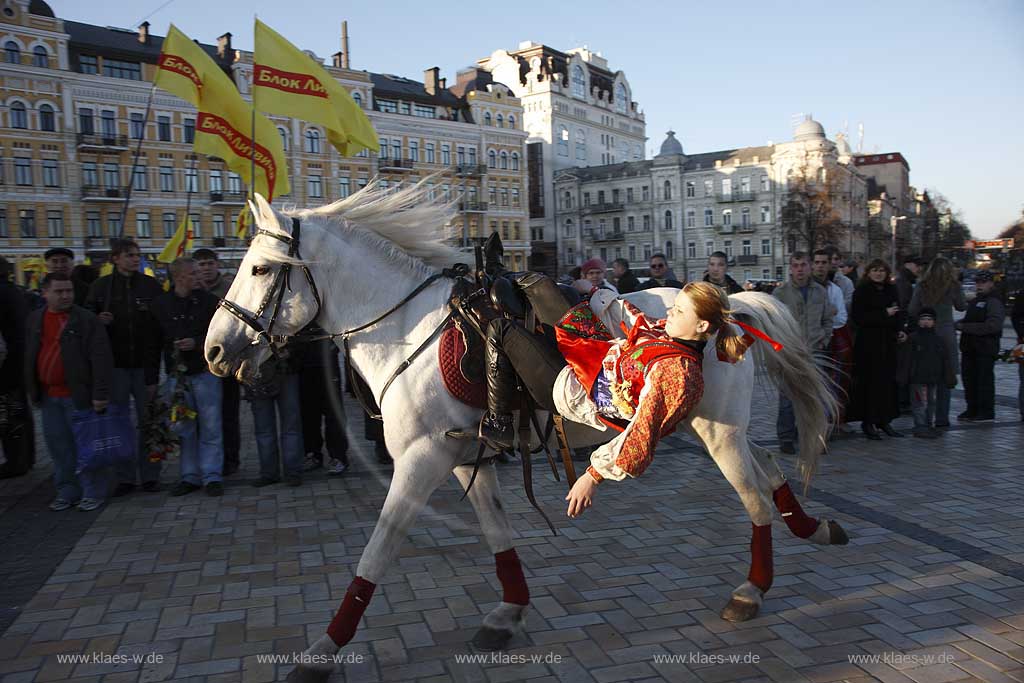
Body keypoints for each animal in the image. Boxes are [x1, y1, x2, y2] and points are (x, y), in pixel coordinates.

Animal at [205, 183, 847, 683]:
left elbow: (376, 552)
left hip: (715, 432)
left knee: (754, 497)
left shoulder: (418, 462)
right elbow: (496, 533)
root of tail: (729, 308)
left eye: (260, 269)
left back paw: (752, 588)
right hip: (715, 427)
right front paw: (508, 611)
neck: (403, 329)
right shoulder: (465, 457)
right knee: (769, 467)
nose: (214, 351)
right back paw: (815, 527)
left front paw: (321, 650)